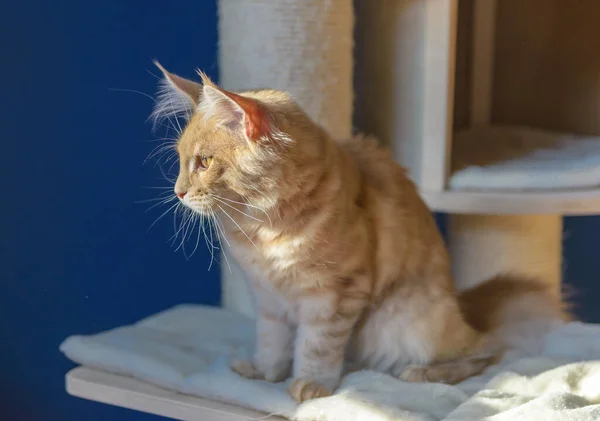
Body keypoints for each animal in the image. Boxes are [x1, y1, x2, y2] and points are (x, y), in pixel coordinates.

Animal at [151, 63, 568, 404]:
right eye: (181, 162)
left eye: (204, 162)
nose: (178, 191)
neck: (264, 232)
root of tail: (466, 308)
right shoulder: (269, 299)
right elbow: (271, 343)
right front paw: (264, 373)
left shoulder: (335, 293)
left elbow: (316, 346)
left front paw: (311, 385)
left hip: (410, 320)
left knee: (485, 353)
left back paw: (421, 373)